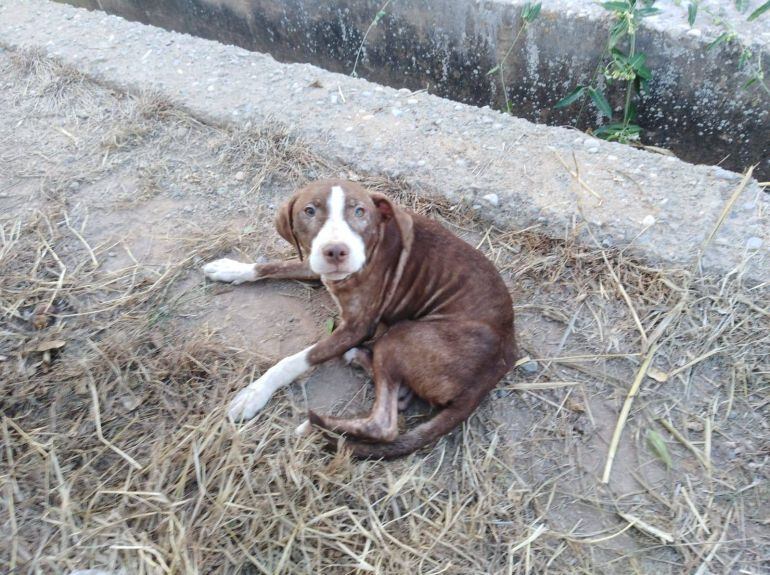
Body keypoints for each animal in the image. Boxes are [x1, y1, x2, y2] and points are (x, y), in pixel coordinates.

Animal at [204, 180, 516, 460]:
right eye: (309, 211)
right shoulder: (314, 264)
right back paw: (361, 362)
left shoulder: (357, 327)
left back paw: (317, 428)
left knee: (384, 426)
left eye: (359, 211)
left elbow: (295, 361)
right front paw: (233, 269)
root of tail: (498, 365)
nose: (336, 251)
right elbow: (274, 265)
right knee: (398, 398)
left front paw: (255, 393)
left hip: (401, 336)